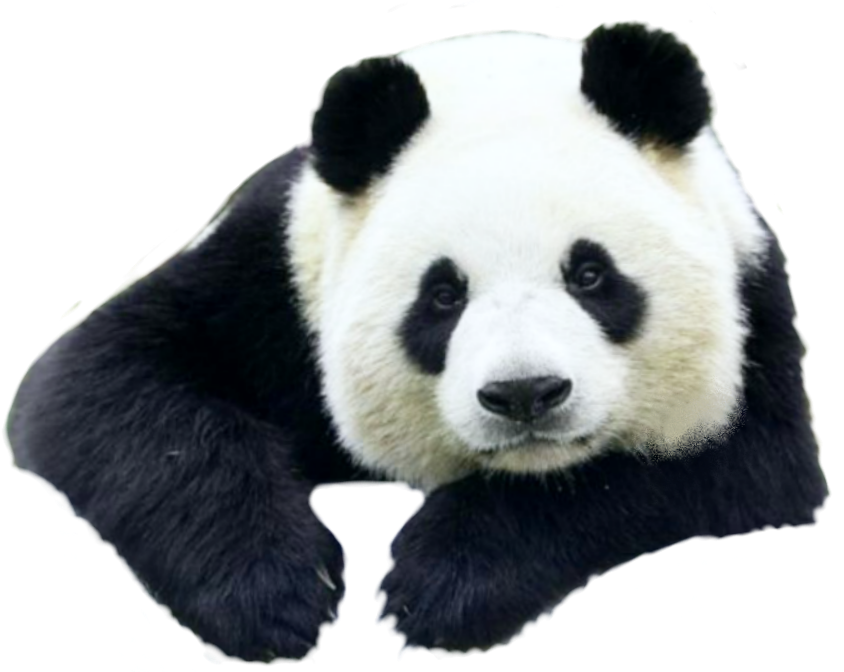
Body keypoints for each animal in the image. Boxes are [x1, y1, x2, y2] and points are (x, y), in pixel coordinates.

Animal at [4, 22, 829, 663]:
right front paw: (274, 589)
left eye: (591, 274)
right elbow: (103, 381)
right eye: (442, 296)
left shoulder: (751, 302)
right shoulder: (274, 269)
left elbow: (718, 465)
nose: (525, 395)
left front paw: (442, 584)